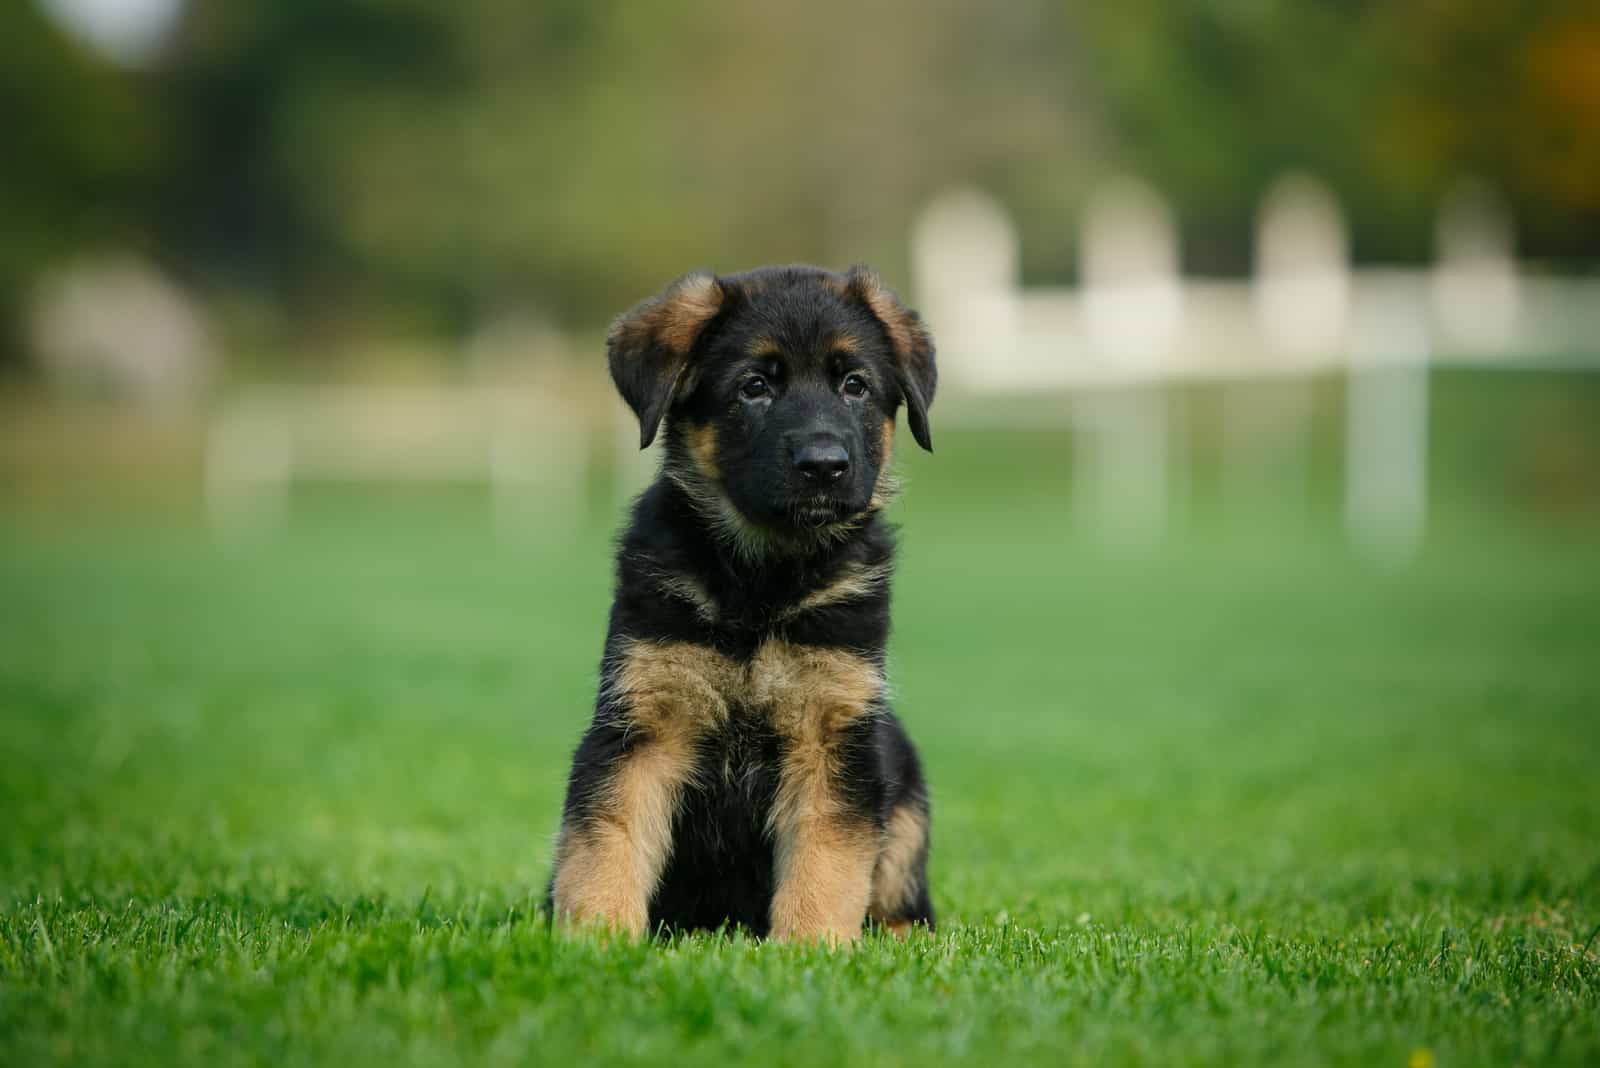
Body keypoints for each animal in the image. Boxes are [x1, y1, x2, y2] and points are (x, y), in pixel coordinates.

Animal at [547, 267, 934, 940]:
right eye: (754, 387)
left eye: (854, 385)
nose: (824, 465)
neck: (762, 585)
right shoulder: (640, 725)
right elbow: (605, 842)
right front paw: (598, 940)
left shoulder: (832, 733)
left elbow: (825, 861)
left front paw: (808, 946)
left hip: (905, 788)